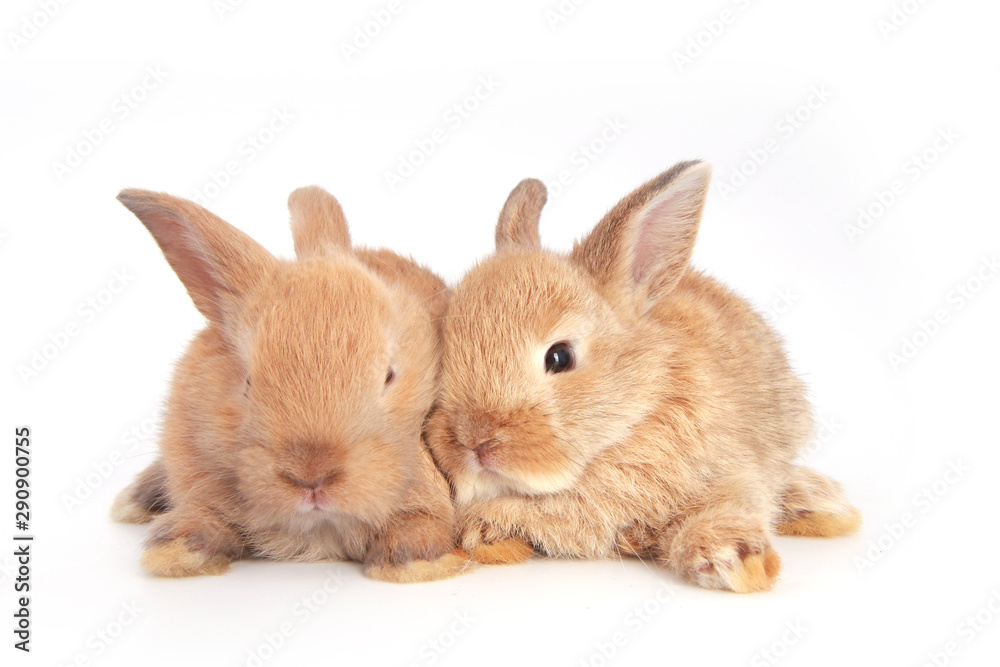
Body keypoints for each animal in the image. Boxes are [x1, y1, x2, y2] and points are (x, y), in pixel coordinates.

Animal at [110, 184, 468, 582]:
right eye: (248, 382)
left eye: (389, 375)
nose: (311, 477)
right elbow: (204, 515)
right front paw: (175, 550)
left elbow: (419, 520)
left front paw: (414, 561)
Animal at [424, 160, 861, 592]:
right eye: (445, 355)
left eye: (560, 356)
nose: (474, 439)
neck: (634, 415)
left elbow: (730, 500)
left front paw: (732, 559)